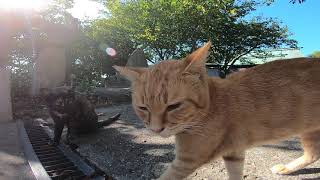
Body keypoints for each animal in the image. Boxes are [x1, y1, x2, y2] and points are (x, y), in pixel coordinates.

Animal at [113, 42, 320, 180]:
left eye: (173, 106)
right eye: (143, 108)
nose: (156, 130)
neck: (209, 107)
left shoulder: (186, 161)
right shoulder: (234, 152)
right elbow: (235, 173)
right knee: (313, 154)